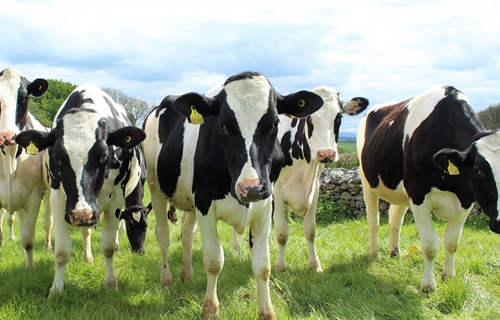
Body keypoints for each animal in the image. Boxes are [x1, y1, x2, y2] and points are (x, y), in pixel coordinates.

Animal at [0, 69, 50, 266]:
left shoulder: (33, 198)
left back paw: (47, 246)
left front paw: (30, 268)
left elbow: (28, 239)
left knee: (48, 222)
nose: (7, 136)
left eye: (24, 98)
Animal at [15, 84, 145, 296]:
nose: (81, 214)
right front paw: (56, 289)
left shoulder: (116, 200)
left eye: (104, 155)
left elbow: (108, 246)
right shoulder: (59, 200)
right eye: (57, 157)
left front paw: (111, 284)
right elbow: (61, 250)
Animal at [144, 71, 324, 318]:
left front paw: (267, 312)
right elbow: (213, 261)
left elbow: (262, 265)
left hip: (188, 200)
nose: (251, 187)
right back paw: (167, 279)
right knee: (162, 234)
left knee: (187, 234)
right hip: (155, 187)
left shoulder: (265, 205)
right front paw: (210, 309)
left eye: (274, 123)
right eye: (222, 126)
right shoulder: (204, 204)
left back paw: (187, 275)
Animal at [274, 86, 368, 274]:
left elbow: (310, 230)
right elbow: (281, 232)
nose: (326, 154)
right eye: (309, 118)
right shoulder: (277, 189)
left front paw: (315, 264)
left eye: (339, 117)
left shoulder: (315, 189)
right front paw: (280, 266)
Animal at [358, 85, 500, 292]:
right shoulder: (418, 194)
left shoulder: (467, 199)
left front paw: (449, 276)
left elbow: (452, 242)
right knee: (373, 221)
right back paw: (374, 253)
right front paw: (428, 284)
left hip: (400, 191)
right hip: (367, 182)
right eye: (478, 171)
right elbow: (430, 244)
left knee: (395, 219)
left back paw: (395, 252)